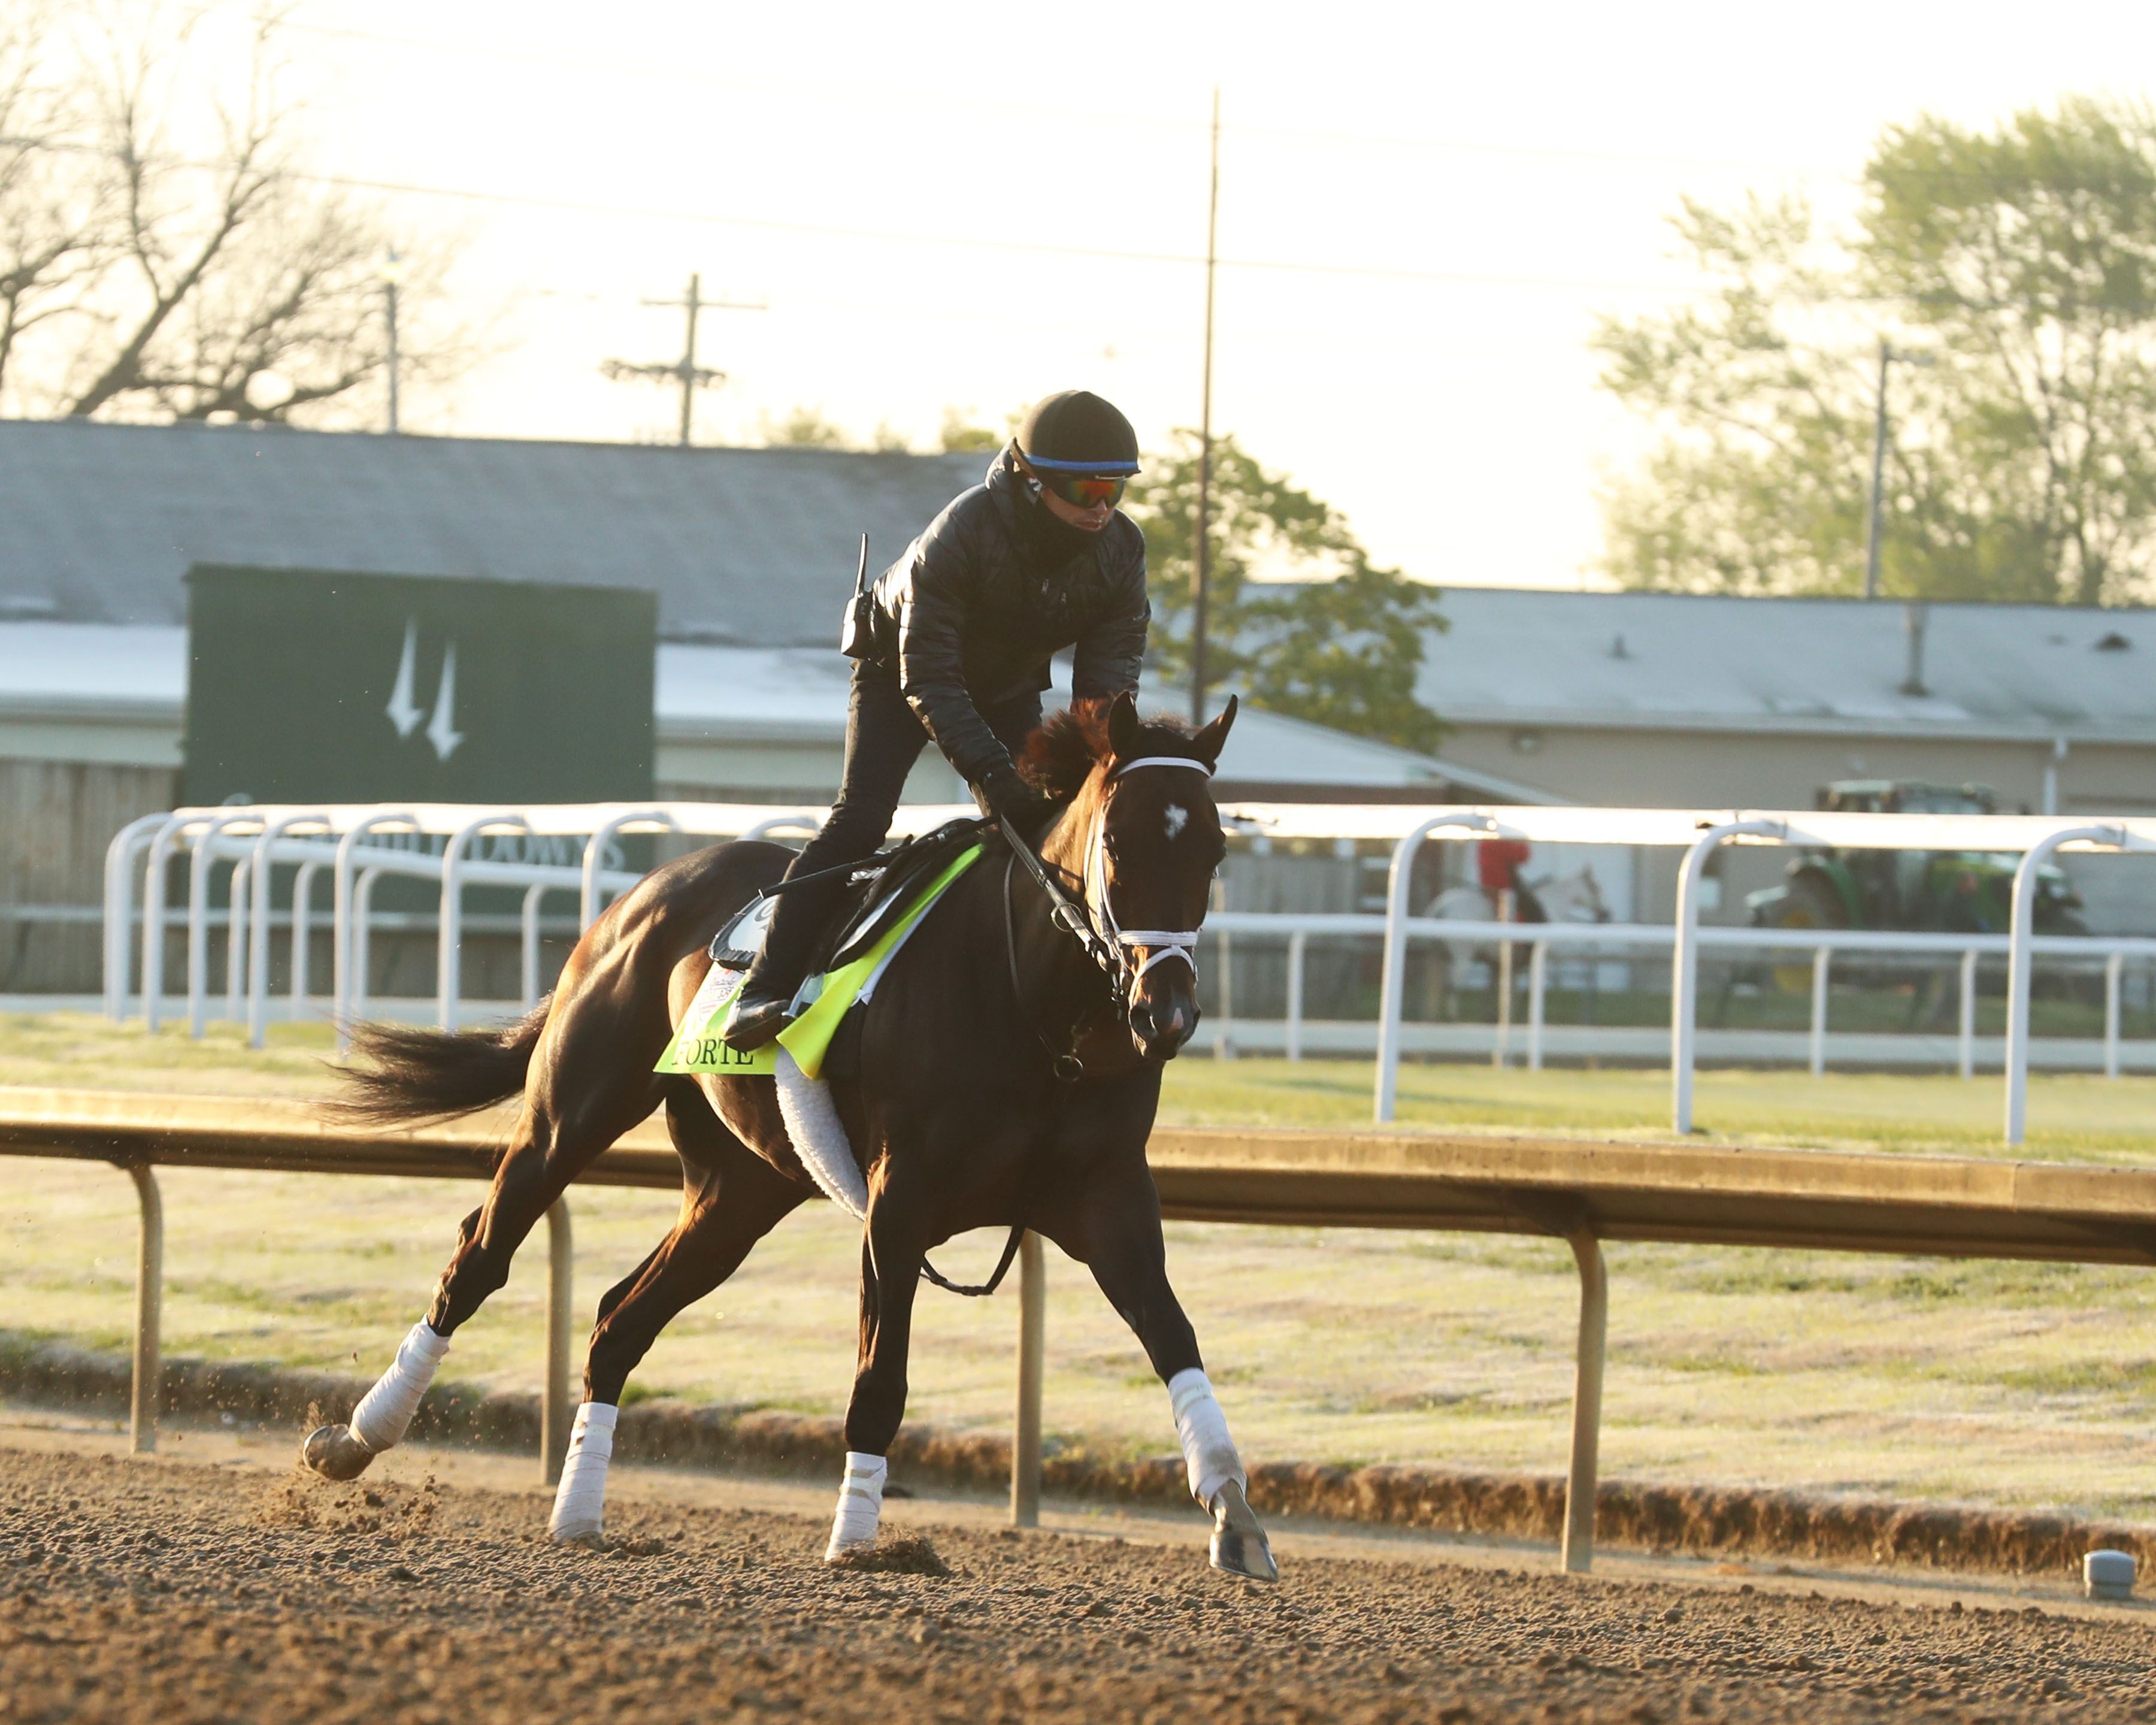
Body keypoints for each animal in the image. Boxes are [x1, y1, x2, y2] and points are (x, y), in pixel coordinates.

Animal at [306, 698, 1276, 1578]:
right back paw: (357, 1437)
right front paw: (858, 1543)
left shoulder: (1106, 1195)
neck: (1036, 1007)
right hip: (569, 1118)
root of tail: (647, 891)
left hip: (741, 1189)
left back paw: (577, 1514)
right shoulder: (900, 1202)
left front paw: (1234, 1513)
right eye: (1118, 847)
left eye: (1213, 851)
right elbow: (880, 1378)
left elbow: (1173, 1335)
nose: (1168, 1013)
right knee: (480, 1256)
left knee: (620, 1318)